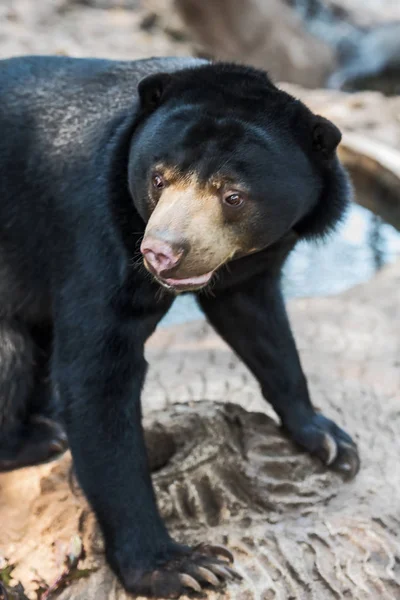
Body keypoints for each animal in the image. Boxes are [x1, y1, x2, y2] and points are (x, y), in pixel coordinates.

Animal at [0, 55, 360, 596]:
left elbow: (265, 332)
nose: (160, 253)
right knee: (13, 352)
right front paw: (179, 566)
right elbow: (97, 376)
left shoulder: (252, 267)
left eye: (233, 196)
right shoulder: (96, 237)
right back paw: (41, 438)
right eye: (158, 179)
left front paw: (329, 440)